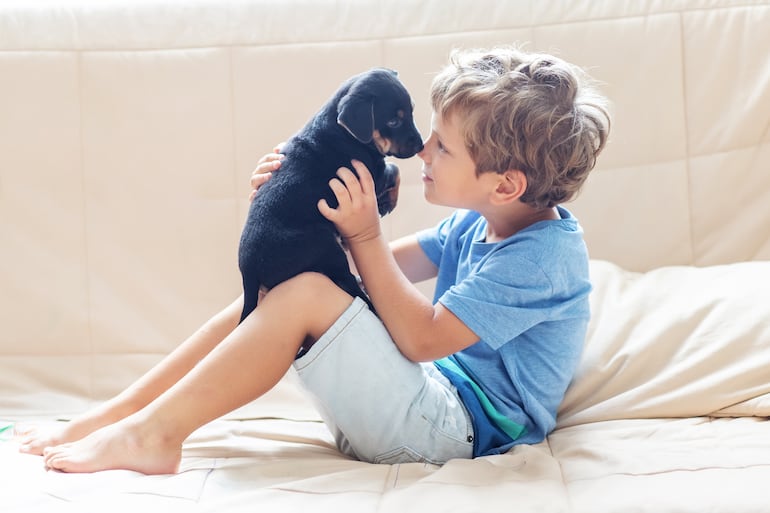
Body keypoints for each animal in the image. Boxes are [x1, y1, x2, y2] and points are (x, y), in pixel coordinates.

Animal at [237, 69, 424, 320]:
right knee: (346, 283)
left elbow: (394, 169)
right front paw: (388, 202)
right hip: (325, 248)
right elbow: (394, 169)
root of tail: (249, 271)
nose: (421, 145)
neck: (343, 131)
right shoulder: (371, 174)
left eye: (411, 111)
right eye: (393, 121)